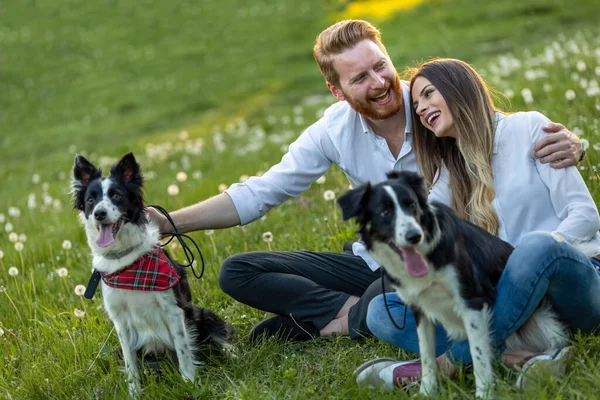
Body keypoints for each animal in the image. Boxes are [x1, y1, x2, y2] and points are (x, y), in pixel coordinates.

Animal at [71, 152, 233, 396]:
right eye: (91, 199)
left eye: (116, 195)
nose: (99, 213)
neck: (125, 262)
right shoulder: (120, 321)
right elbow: (130, 365)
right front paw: (135, 393)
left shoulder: (174, 310)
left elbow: (184, 352)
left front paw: (189, 384)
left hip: (201, 315)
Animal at [338, 171, 568, 396]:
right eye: (385, 212)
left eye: (412, 205)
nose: (414, 236)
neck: (427, 257)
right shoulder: (420, 309)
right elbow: (427, 356)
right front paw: (427, 391)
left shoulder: (471, 303)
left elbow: (479, 357)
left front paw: (484, 394)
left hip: (546, 324)